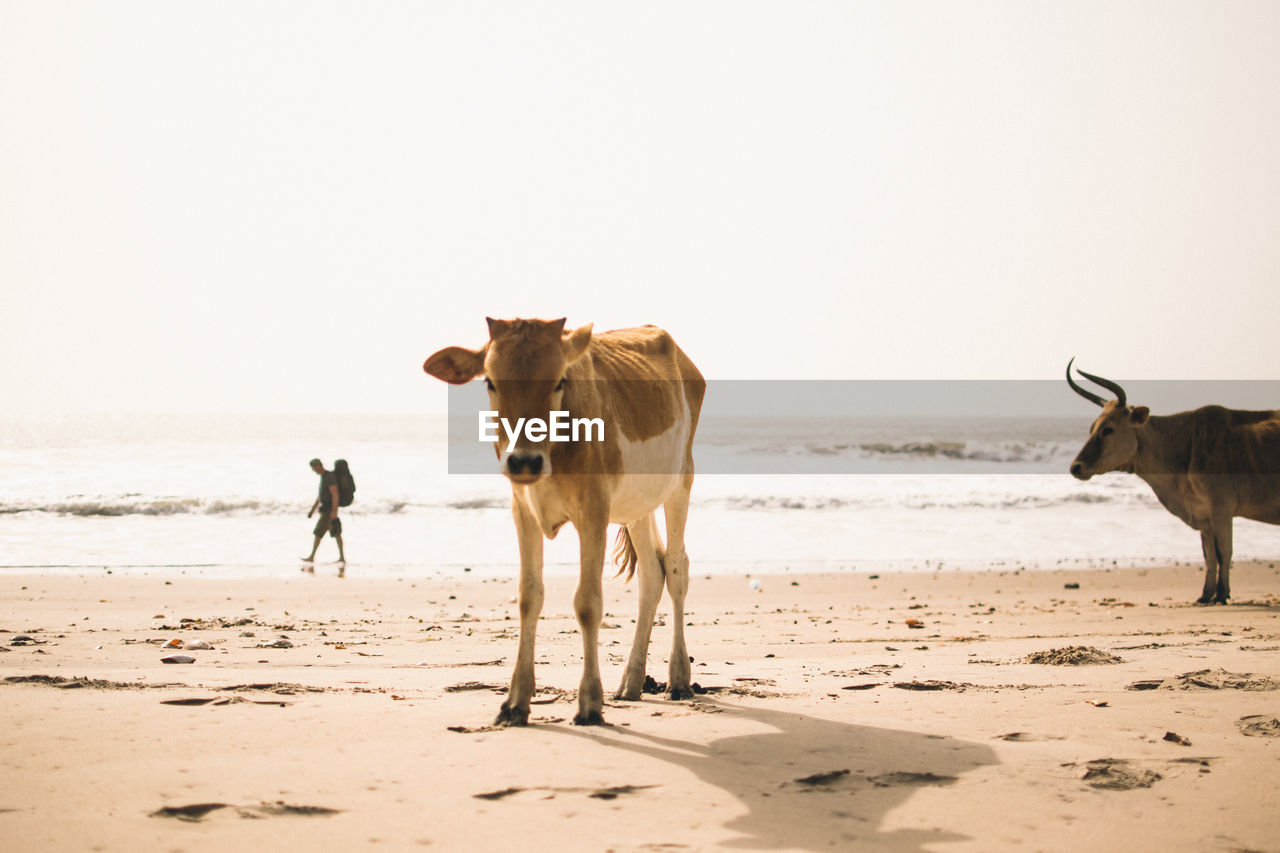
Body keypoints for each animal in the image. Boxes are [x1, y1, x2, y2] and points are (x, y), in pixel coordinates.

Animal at [424, 318, 705, 725]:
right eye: (490, 381)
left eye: (559, 381)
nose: (524, 461)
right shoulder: (522, 509)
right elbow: (529, 597)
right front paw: (515, 701)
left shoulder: (594, 510)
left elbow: (588, 602)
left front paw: (589, 703)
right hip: (638, 503)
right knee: (652, 574)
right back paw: (631, 682)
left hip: (681, 477)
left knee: (677, 566)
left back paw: (679, 679)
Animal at [1066, 358, 1280, 603]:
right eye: (1092, 428)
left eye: (1107, 429)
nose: (1076, 467)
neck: (1186, 441)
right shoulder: (1204, 516)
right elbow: (1209, 555)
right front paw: (1206, 595)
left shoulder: (1221, 508)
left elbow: (1223, 551)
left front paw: (1222, 594)